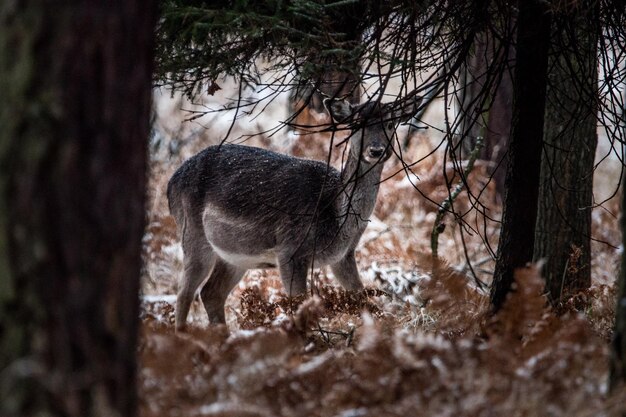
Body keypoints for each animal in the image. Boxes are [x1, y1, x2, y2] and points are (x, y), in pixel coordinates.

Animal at [166, 96, 420, 328]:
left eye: (391, 123)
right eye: (357, 123)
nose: (376, 150)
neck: (336, 220)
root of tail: (172, 182)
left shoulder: (343, 256)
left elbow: (362, 297)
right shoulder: (290, 250)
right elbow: (300, 306)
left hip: (234, 255)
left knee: (211, 293)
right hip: (193, 232)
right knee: (184, 293)